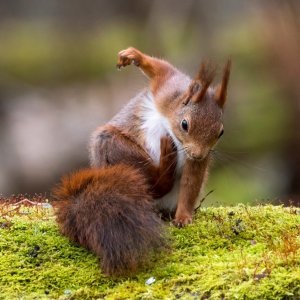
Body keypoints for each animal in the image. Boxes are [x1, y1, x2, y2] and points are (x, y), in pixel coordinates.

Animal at [52, 47, 231, 276]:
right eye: (185, 124)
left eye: (221, 132)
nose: (198, 154)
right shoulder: (167, 89)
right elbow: (161, 69)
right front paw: (133, 56)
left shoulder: (196, 160)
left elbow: (191, 183)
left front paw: (183, 217)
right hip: (113, 146)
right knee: (153, 182)